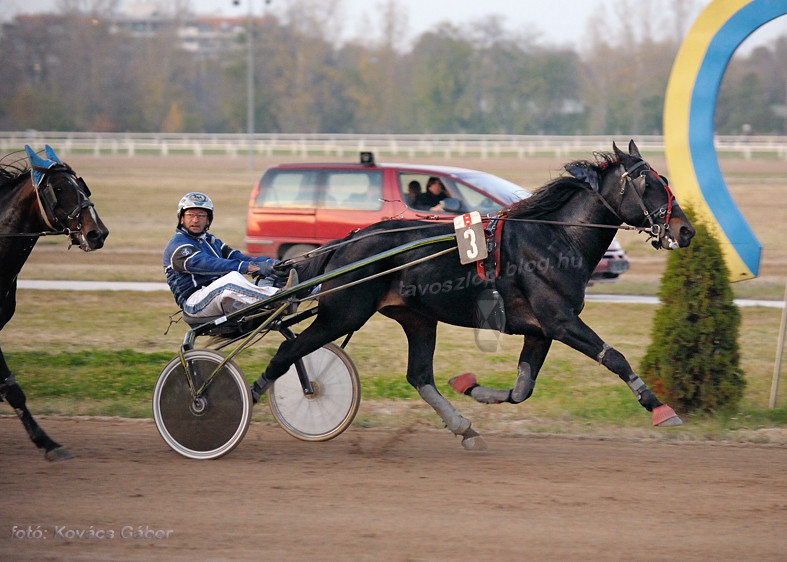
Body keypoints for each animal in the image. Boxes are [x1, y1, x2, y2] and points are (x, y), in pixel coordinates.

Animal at [252, 139, 696, 446]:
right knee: (289, 351)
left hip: (417, 318)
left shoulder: (539, 331)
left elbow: (521, 390)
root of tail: (347, 241)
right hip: (342, 314)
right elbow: (614, 356)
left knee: (419, 376)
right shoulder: (560, 321)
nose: (686, 229)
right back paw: (251, 395)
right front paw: (659, 407)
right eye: (649, 181)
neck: (555, 237)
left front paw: (470, 387)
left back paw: (463, 428)